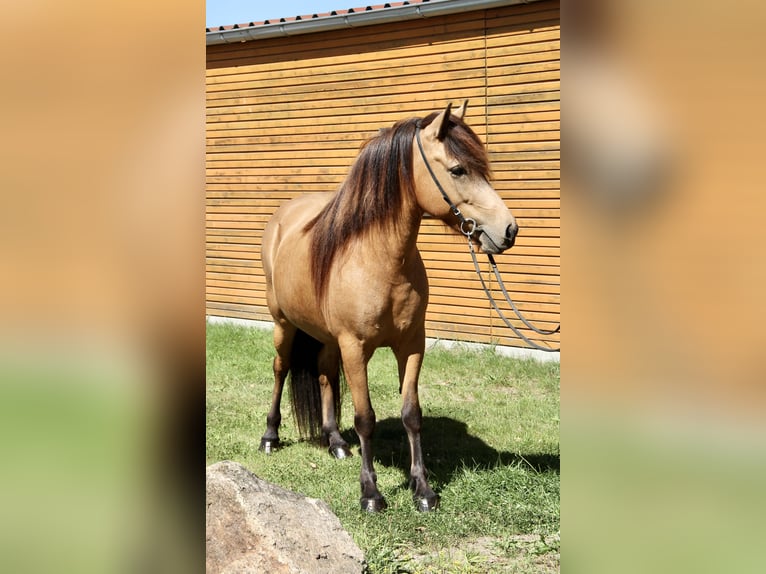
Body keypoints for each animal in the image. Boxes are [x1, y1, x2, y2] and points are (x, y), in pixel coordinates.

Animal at [260, 102, 520, 512]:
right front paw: (370, 493)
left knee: (324, 374)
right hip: (284, 324)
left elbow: (411, 414)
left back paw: (335, 442)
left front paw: (423, 490)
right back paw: (270, 437)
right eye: (458, 170)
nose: (509, 230)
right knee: (280, 369)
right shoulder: (355, 348)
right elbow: (365, 417)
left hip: (326, 337)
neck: (379, 259)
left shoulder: (411, 345)